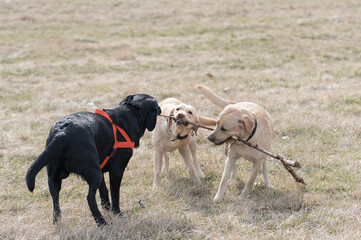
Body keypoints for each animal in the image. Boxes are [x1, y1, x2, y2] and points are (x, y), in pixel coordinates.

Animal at [25, 94, 160, 226]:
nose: (161, 109)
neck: (130, 113)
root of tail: (62, 134)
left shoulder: (101, 168)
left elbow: (104, 191)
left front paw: (107, 207)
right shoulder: (116, 170)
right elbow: (115, 194)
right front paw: (117, 213)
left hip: (54, 178)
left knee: (55, 200)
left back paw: (57, 222)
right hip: (94, 174)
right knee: (89, 198)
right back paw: (101, 222)